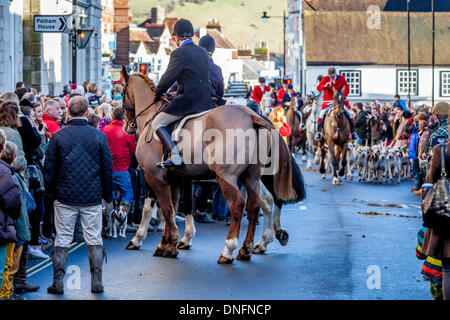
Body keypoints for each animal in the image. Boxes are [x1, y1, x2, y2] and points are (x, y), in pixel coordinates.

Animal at [119, 66, 298, 264]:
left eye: (123, 91)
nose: (127, 127)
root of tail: (251, 115)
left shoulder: (153, 176)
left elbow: (159, 207)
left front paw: (151, 241)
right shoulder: (175, 178)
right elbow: (175, 207)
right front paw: (168, 243)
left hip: (227, 177)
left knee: (240, 205)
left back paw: (229, 250)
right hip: (251, 176)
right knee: (256, 205)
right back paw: (249, 248)